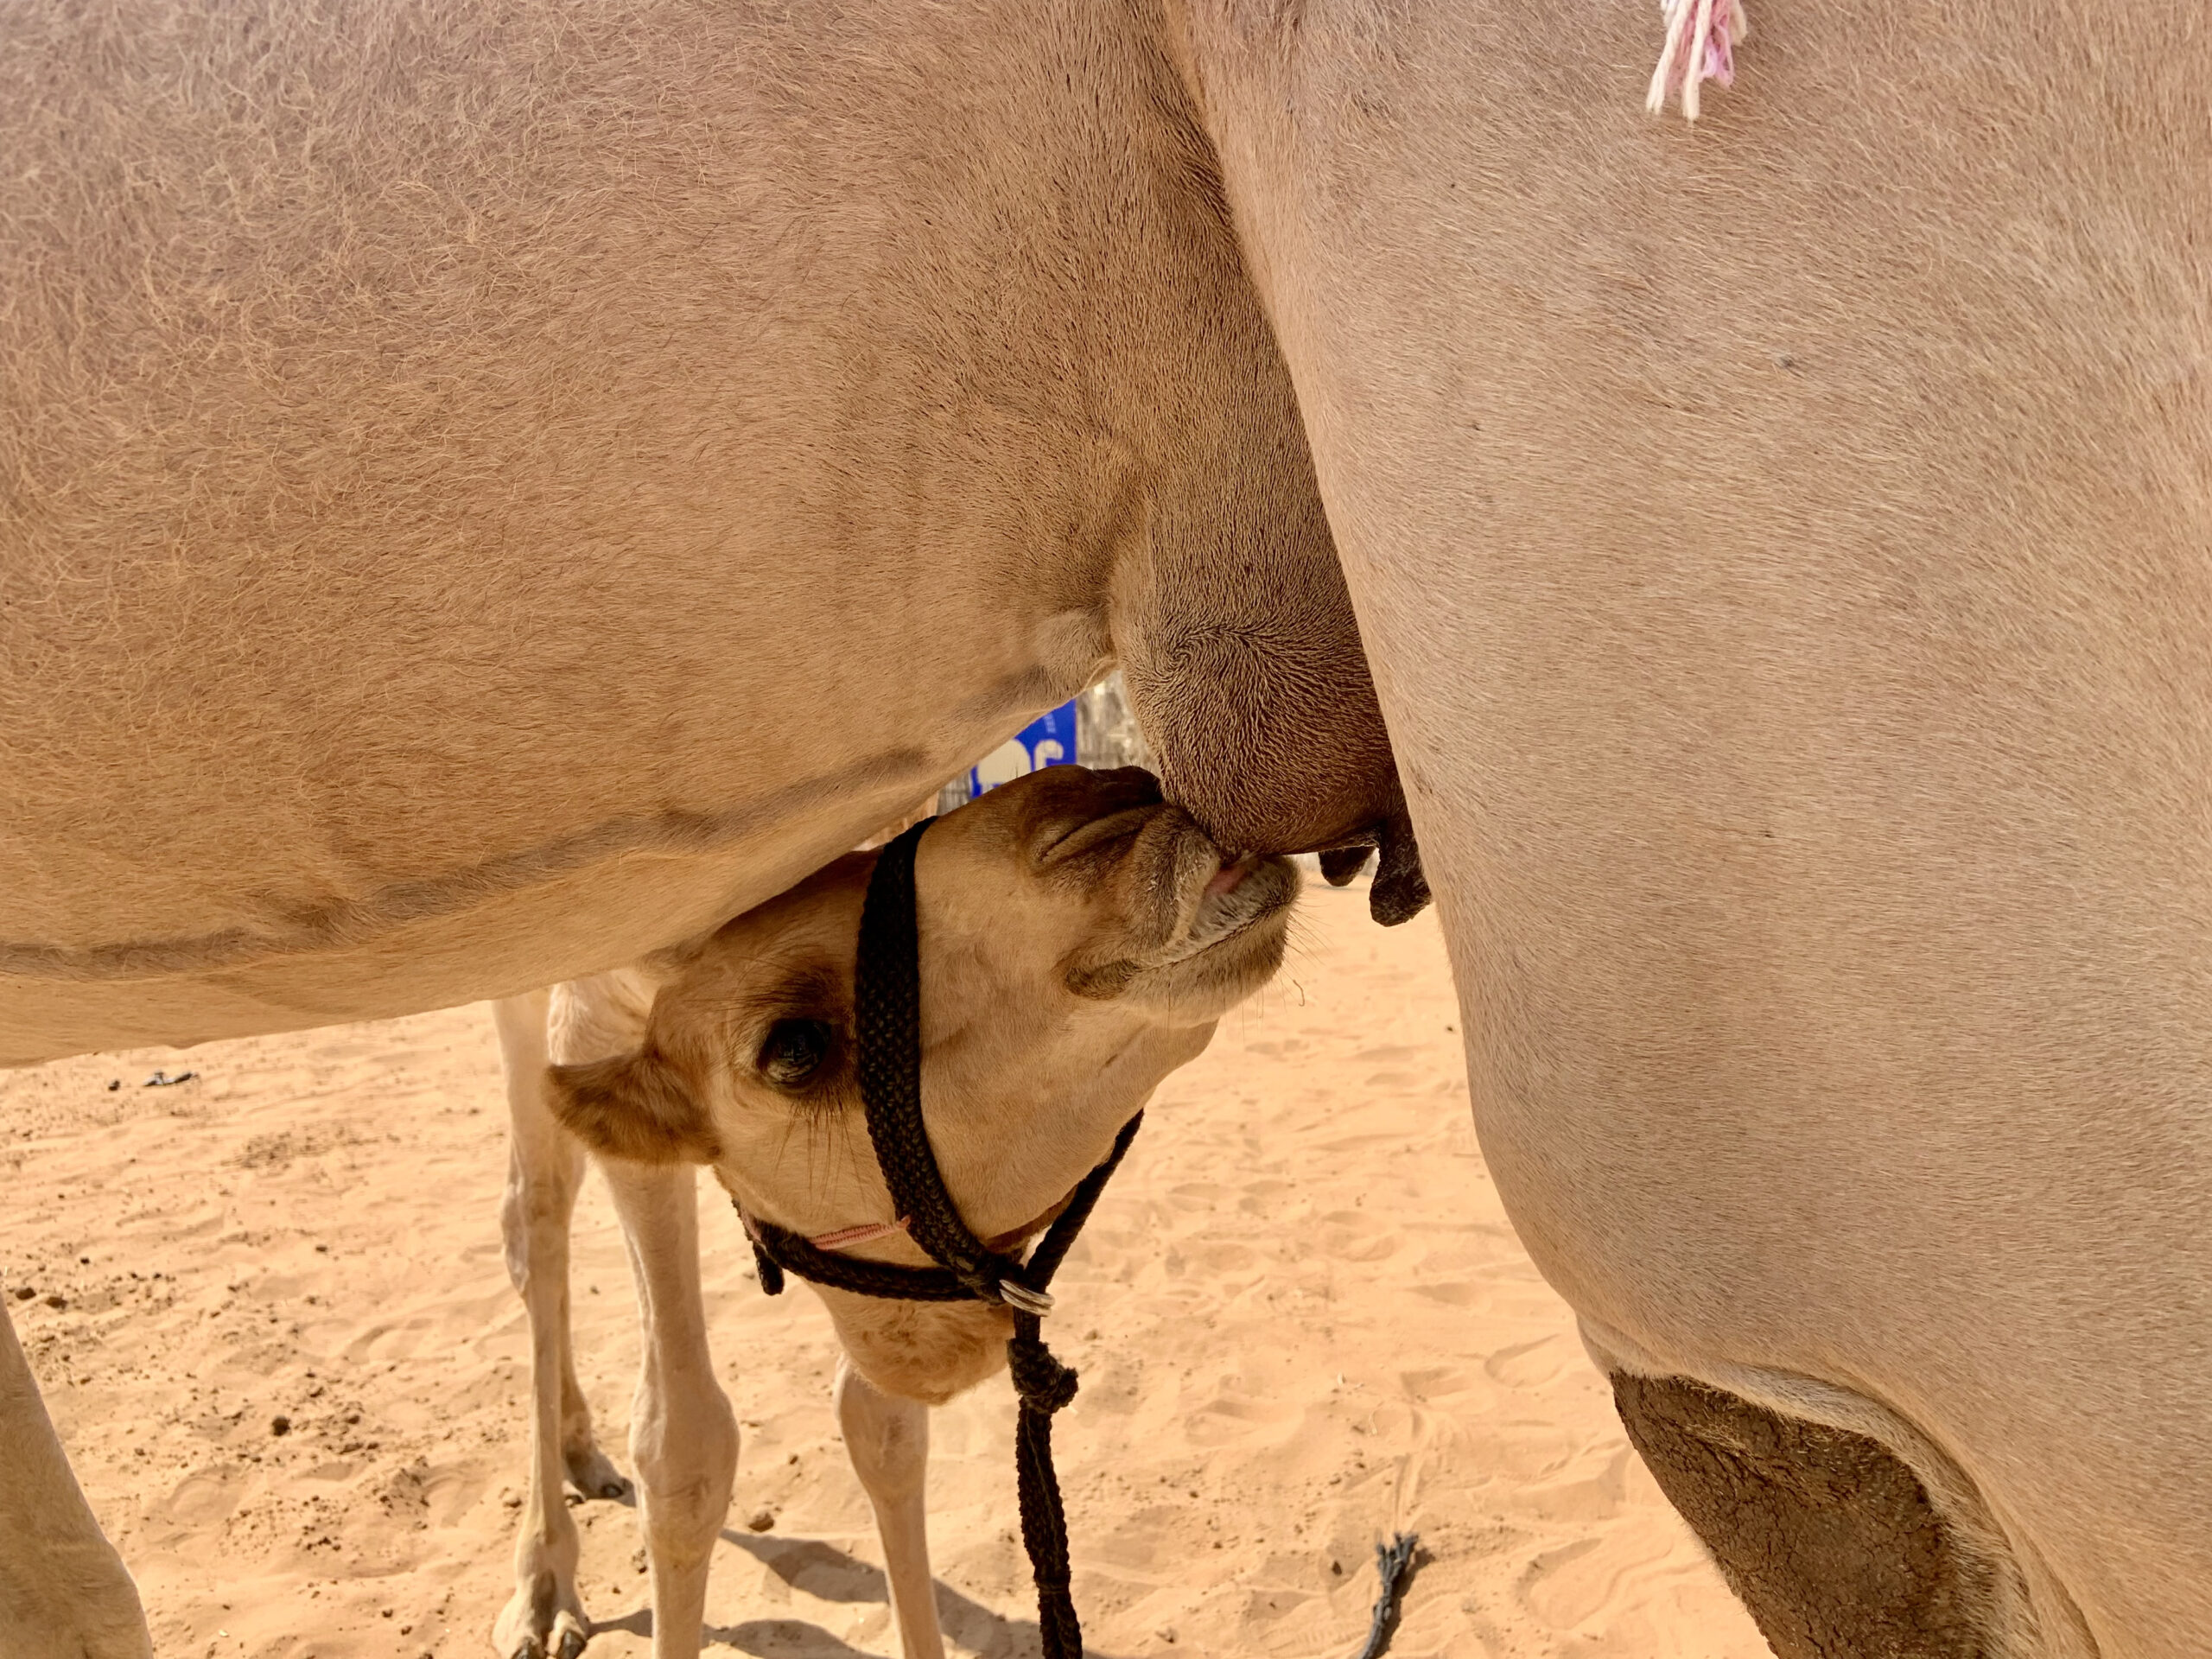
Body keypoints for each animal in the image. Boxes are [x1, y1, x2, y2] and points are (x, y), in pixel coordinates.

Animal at [493, 769, 1300, 1659]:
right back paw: (544, 1587)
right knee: (536, 1217)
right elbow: (684, 1455)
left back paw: (579, 1453)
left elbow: (883, 1429)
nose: (1108, 802)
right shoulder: (594, 1018)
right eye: (794, 1050)